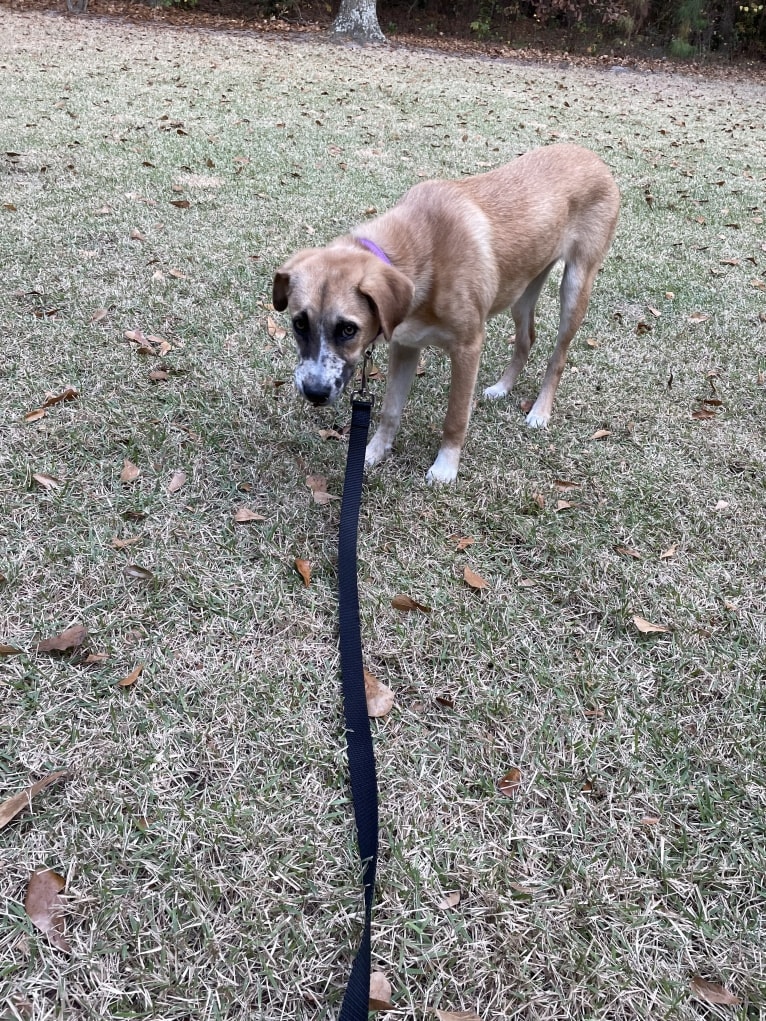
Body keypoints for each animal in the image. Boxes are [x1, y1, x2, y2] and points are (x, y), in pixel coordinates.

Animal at [273, 140, 620, 485]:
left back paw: (540, 411)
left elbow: (455, 416)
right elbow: (390, 409)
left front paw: (445, 467)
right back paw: (503, 388)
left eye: (348, 329)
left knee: (558, 357)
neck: (422, 248)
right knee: (526, 339)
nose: (314, 392)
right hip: (522, 290)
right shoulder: (405, 345)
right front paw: (373, 452)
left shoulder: (468, 347)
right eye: (299, 324)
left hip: (575, 285)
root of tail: (591, 156)